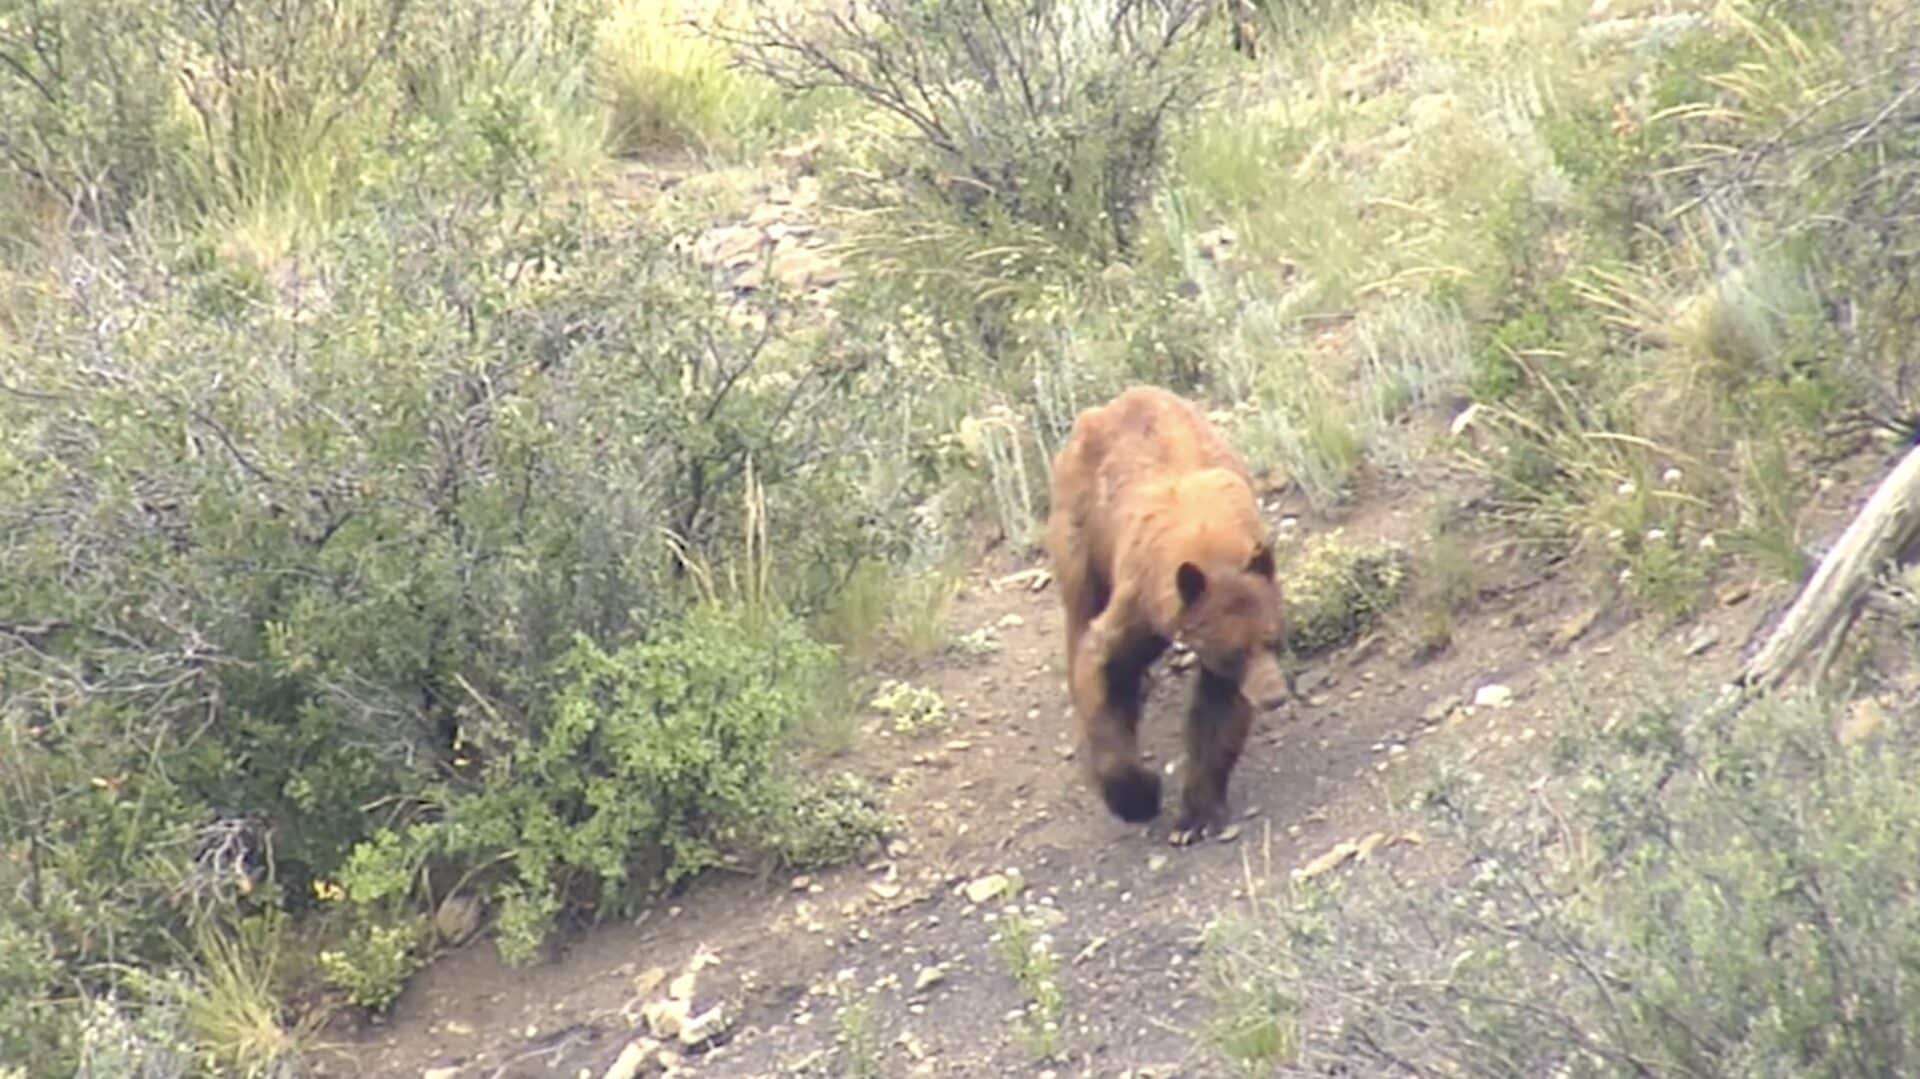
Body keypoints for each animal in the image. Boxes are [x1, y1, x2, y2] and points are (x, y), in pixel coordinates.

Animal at [1043, 384, 1289, 845]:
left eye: (1272, 638)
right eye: (1234, 652)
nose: (1273, 695)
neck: (1208, 546)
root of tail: (1112, 402)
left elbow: (1216, 712)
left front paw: (1196, 815)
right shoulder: (1140, 598)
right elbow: (1105, 666)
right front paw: (1137, 794)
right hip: (1079, 529)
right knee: (1079, 610)